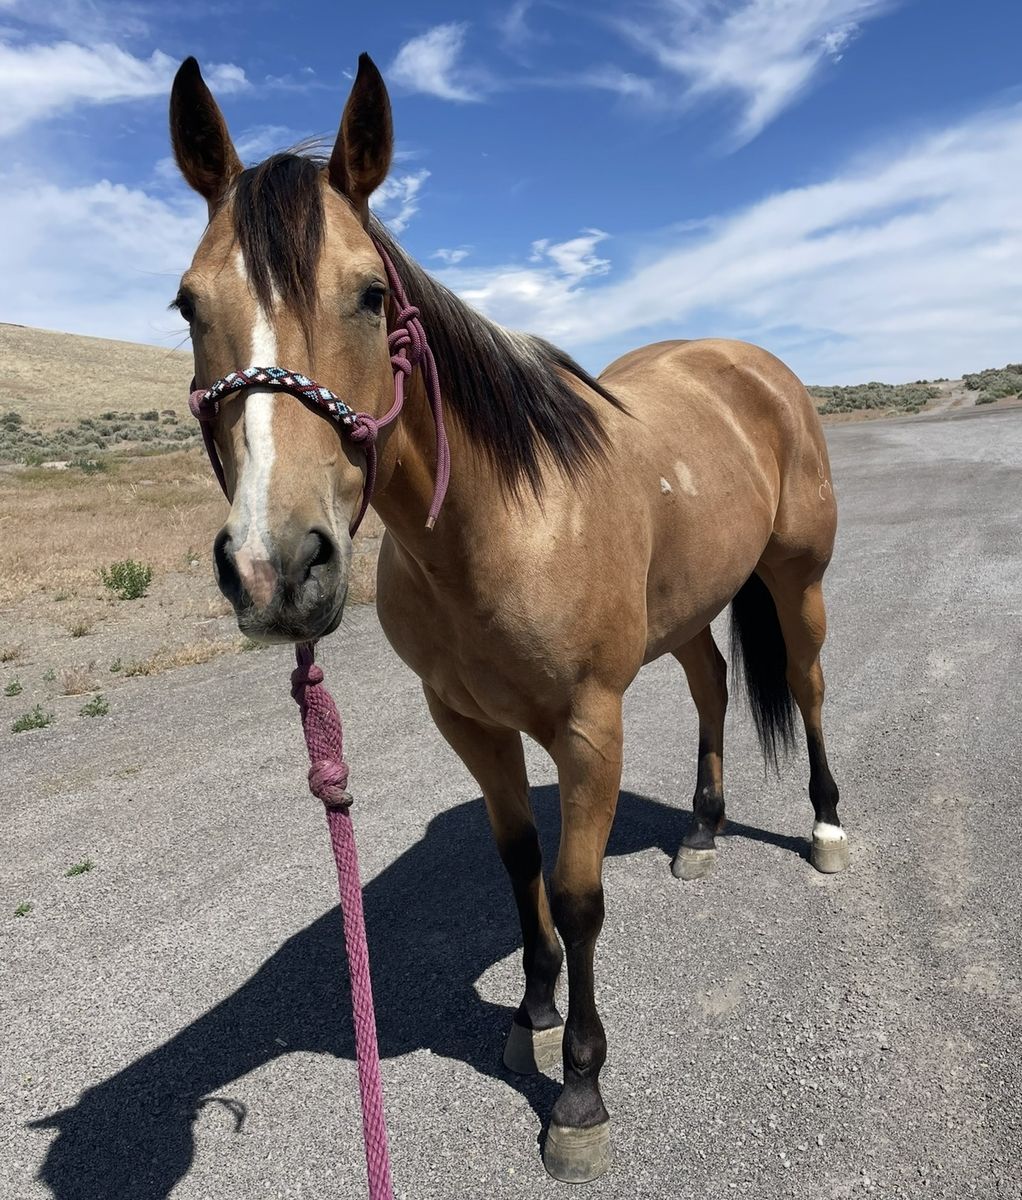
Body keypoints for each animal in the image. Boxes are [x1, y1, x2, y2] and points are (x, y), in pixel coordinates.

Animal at [168, 53, 847, 1184]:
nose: (275, 567)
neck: (503, 524)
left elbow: (576, 895)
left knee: (804, 687)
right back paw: (702, 831)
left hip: (796, 582)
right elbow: (517, 860)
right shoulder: (468, 722)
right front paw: (530, 1011)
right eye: (185, 305)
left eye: (369, 295)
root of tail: (749, 363)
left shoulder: (587, 726)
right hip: (687, 611)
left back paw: (829, 826)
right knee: (711, 685)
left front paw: (577, 1091)